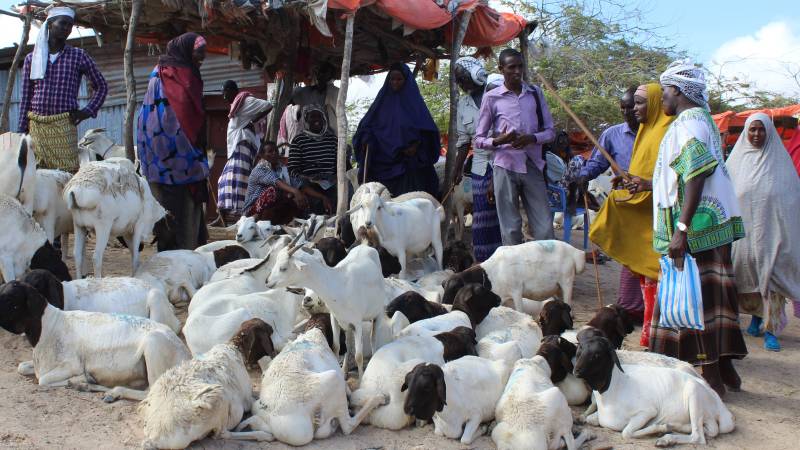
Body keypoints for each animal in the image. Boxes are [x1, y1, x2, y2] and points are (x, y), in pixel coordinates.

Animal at [0, 282, 190, 400]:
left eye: (11, 299)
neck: (49, 326)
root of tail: (184, 354)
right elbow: (22, 367)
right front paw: (83, 381)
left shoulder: (71, 365)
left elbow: (43, 380)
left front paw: (81, 378)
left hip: (153, 345)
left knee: (150, 392)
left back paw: (109, 391)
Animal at [138, 318, 276, 448]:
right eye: (270, 331)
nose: (274, 354)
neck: (235, 348)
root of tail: (154, 436)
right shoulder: (247, 398)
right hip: (219, 396)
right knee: (222, 434)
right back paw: (264, 435)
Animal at [576, 336, 736, 444]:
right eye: (580, 350)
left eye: (597, 354)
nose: (576, 370)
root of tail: (721, 408)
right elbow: (590, 419)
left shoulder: (647, 412)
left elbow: (626, 433)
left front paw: (658, 428)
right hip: (706, 418)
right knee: (707, 430)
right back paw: (672, 428)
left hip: (693, 393)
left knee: (698, 437)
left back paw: (666, 438)